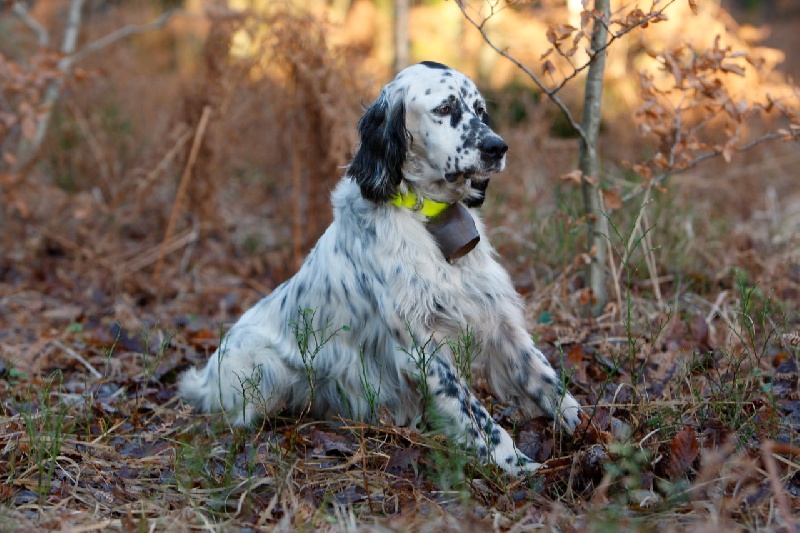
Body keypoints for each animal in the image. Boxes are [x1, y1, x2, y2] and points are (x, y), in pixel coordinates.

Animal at [180, 62, 580, 474]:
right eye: (444, 108)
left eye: (480, 110)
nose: (497, 147)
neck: (428, 215)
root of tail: (205, 377)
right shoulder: (421, 346)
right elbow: (474, 413)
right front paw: (515, 464)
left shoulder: (498, 320)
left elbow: (544, 377)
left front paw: (582, 427)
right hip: (263, 368)